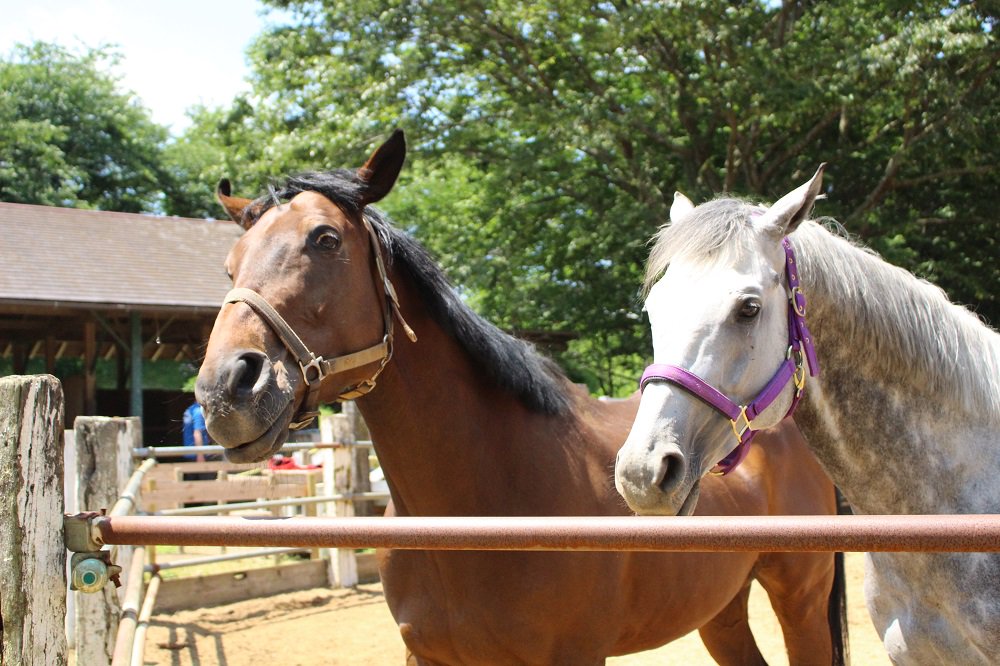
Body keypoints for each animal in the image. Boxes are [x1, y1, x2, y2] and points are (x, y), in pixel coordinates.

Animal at [193, 131, 844, 664]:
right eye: (228, 266)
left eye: (325, 239)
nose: (226, 389)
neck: (480, 511)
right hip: (720, 610)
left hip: (800, 601)